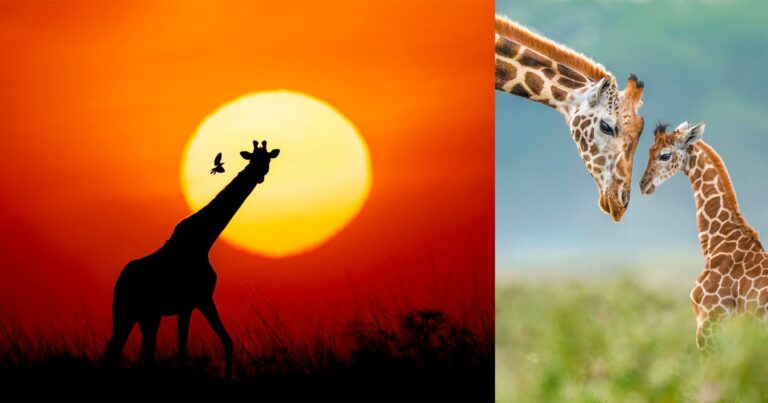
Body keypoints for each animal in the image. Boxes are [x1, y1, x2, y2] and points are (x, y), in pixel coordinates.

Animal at [103, 140, 280, 378]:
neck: (203, 241)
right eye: (253, 159)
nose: (258, 175)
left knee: (138, 354)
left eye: (267, 159)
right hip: (125, 310)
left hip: (147, 315)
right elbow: (183, 351)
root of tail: (120, 280)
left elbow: (225, 342)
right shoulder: (196, 300)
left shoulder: (193, 303)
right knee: (118, 350)